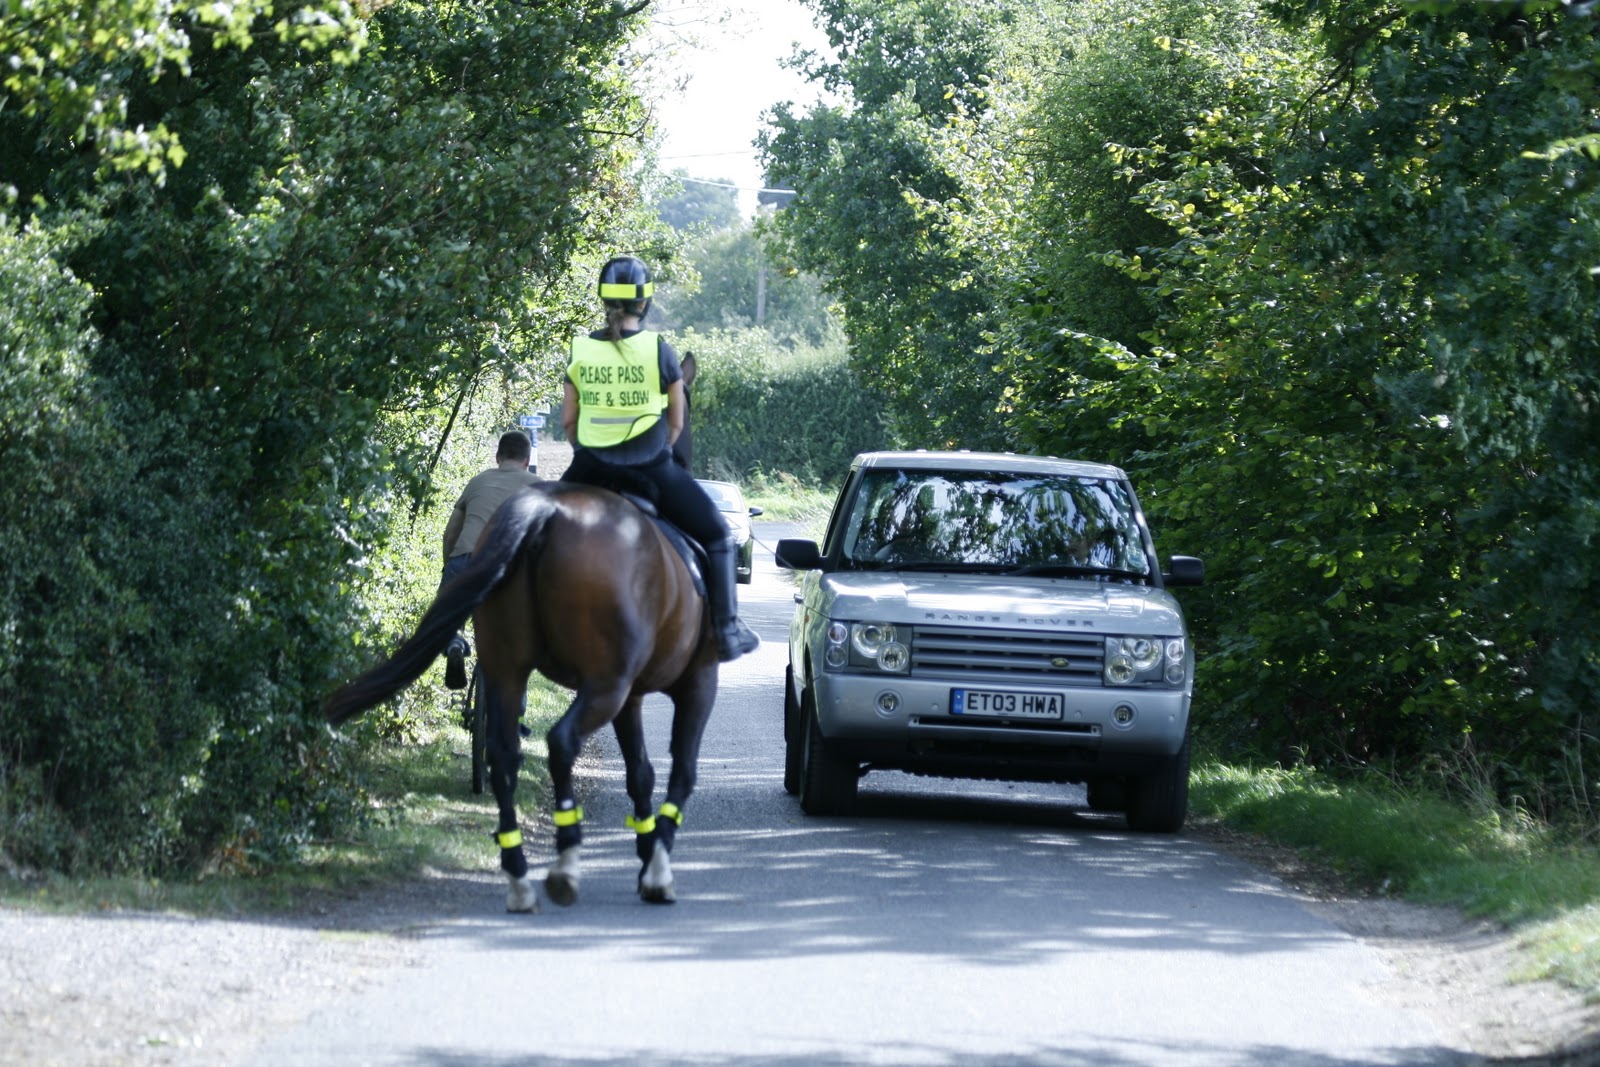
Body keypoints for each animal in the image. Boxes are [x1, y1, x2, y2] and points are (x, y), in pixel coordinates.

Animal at [325, 481, 720, 912]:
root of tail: (544, 512)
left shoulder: (633, 696)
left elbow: (641, 773)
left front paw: (648, 858)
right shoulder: (697, 681)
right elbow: (680, 770)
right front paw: (657, 869)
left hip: (513, 666)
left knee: (502, 752)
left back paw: (518, 875)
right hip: (606, 682)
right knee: (561, 741)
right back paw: (565, 863)